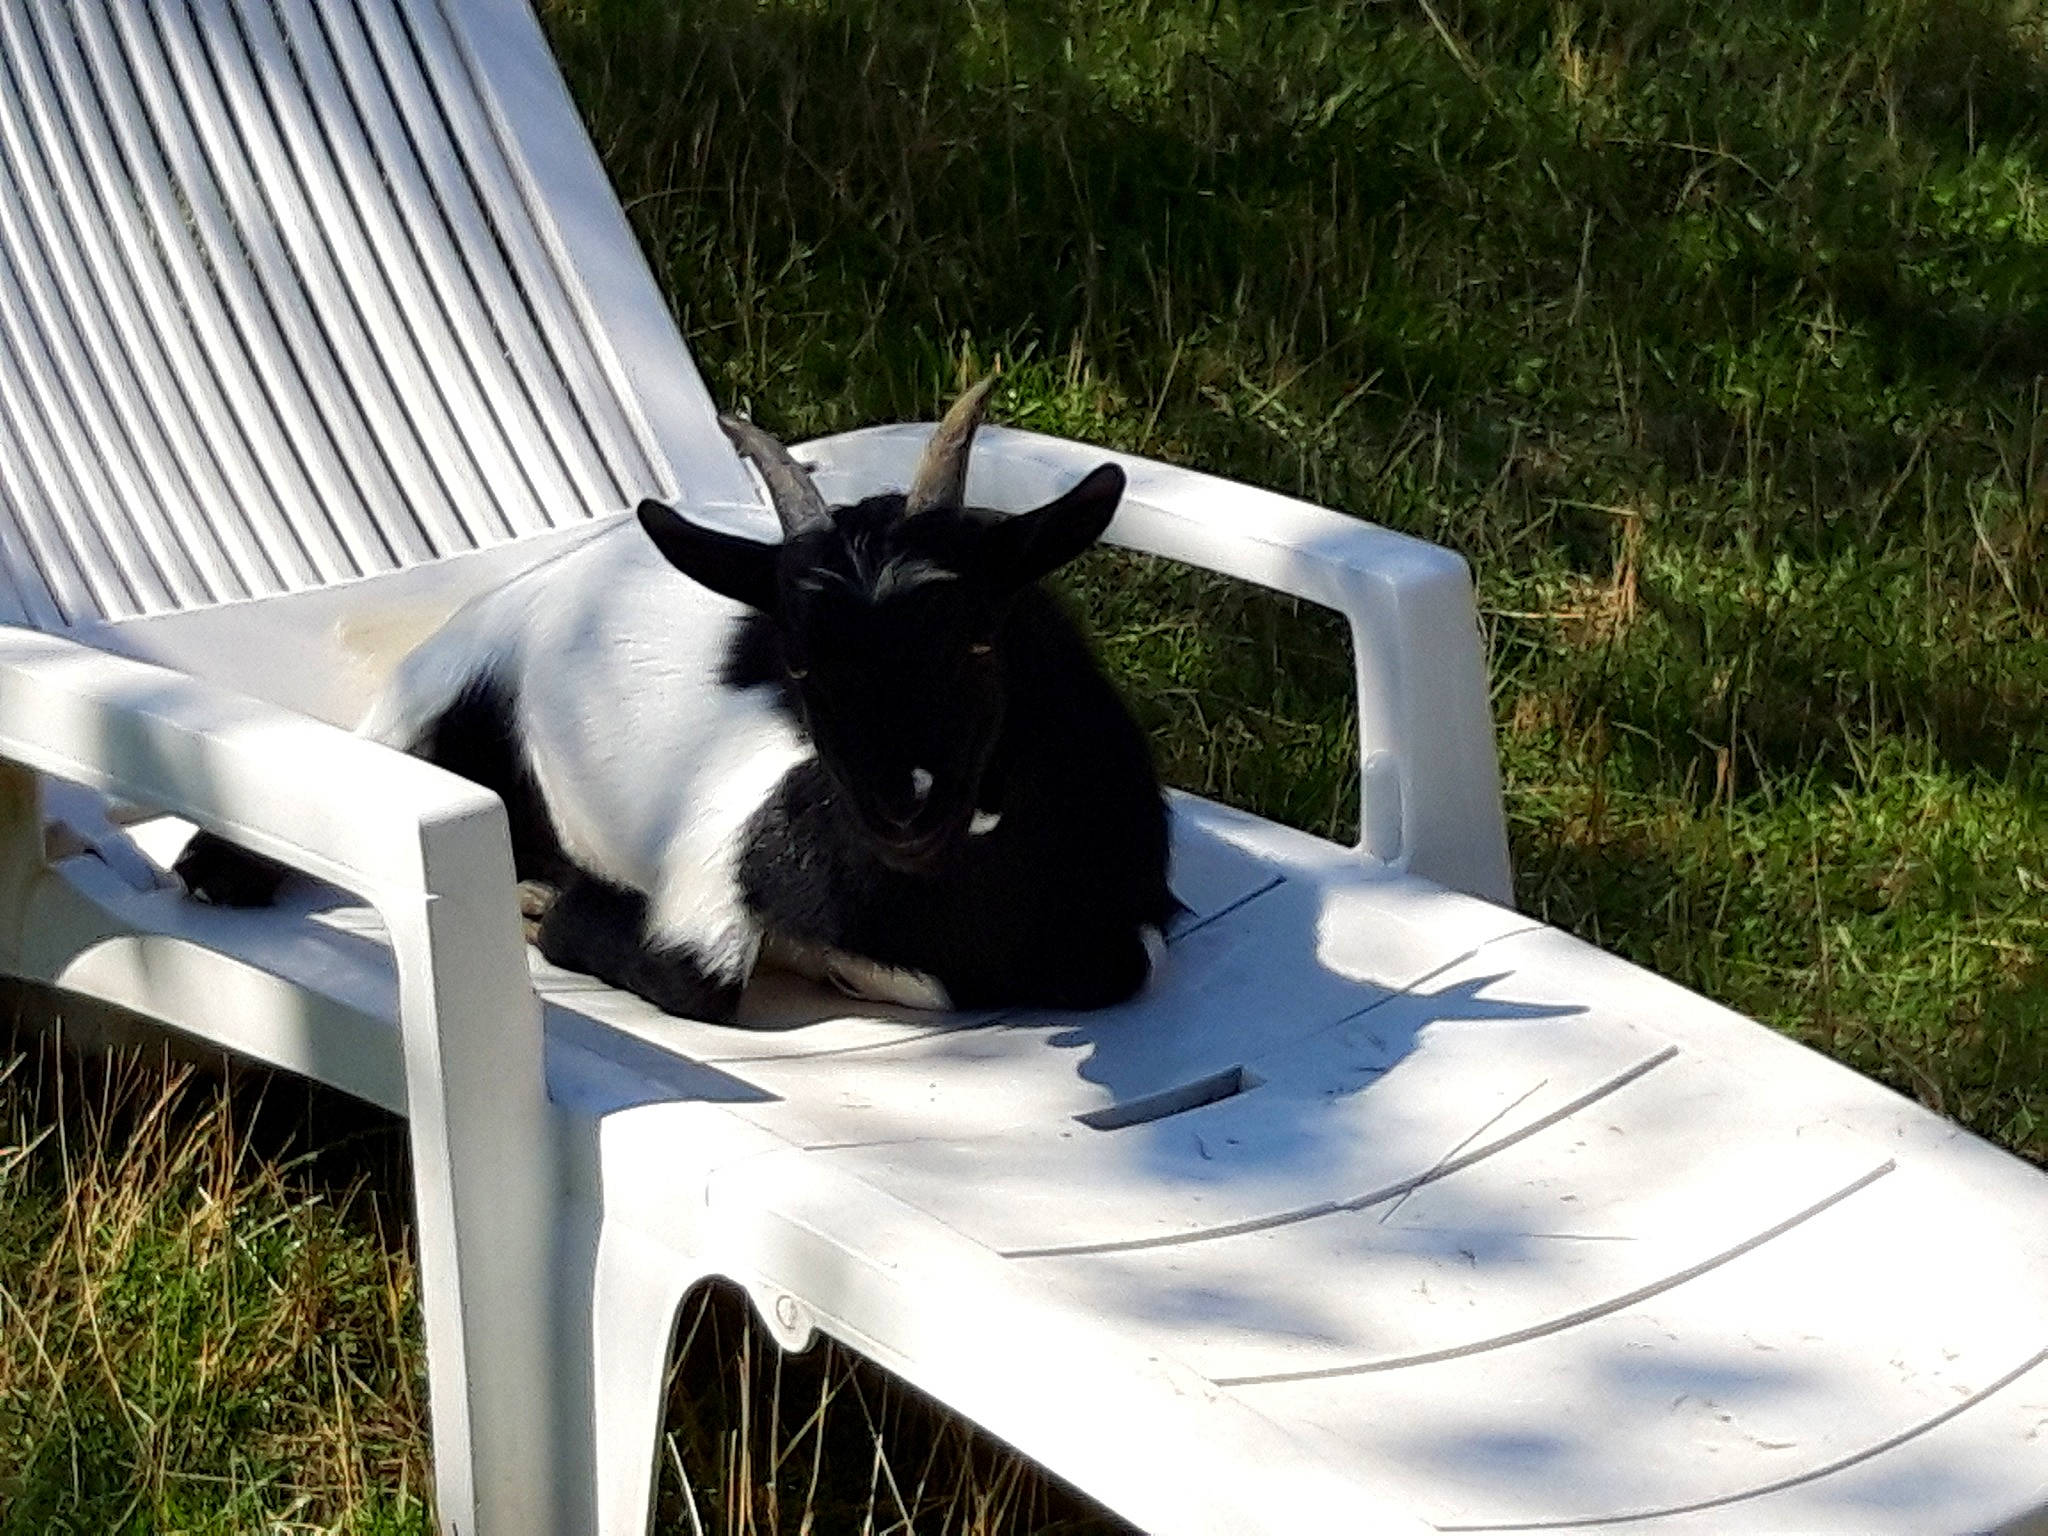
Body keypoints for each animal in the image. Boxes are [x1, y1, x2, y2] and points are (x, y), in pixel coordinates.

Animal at [177, 384, 1176, 1024]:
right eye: (800, 664)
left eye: (979, 640)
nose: (904, 807)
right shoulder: (711, 857)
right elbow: (696, 976)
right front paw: (557, 906)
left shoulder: (1129, 929)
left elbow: (1117, 968)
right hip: (445, 679)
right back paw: (215, 868)